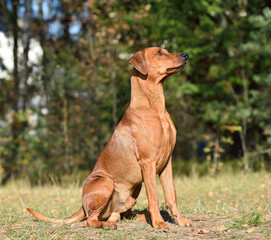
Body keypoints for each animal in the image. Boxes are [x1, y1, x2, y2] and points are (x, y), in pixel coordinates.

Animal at [27, 46, 191, 229]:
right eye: (159, 53)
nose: (185, 55)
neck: (154, 108)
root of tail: (82, 205)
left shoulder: (167, 162)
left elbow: (171, 194)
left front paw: (179, 220)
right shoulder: (148, 162)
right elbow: (154, 197)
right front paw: (159, 223)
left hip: (135, 188)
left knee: (122, 214)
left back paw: (135, 217)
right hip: (106, 182)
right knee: (91, 220)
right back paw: (107, 224)